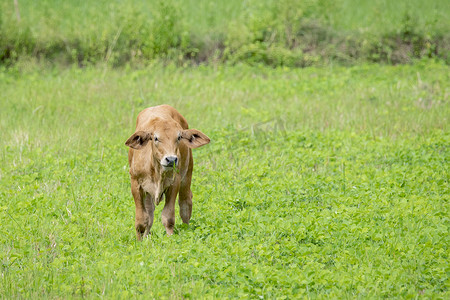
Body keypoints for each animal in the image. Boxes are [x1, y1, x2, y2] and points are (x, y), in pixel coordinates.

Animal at [125, 105, 210, 239]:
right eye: (156, 138)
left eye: (179, 137)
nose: (171, 159)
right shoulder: (136, 183)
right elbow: (141, 220)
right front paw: (140, 241)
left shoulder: (174, 183)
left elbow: (168, 217)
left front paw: (170, 239)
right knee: (150, 212)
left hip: (187, 174)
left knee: (185, 204)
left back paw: (187, 230)